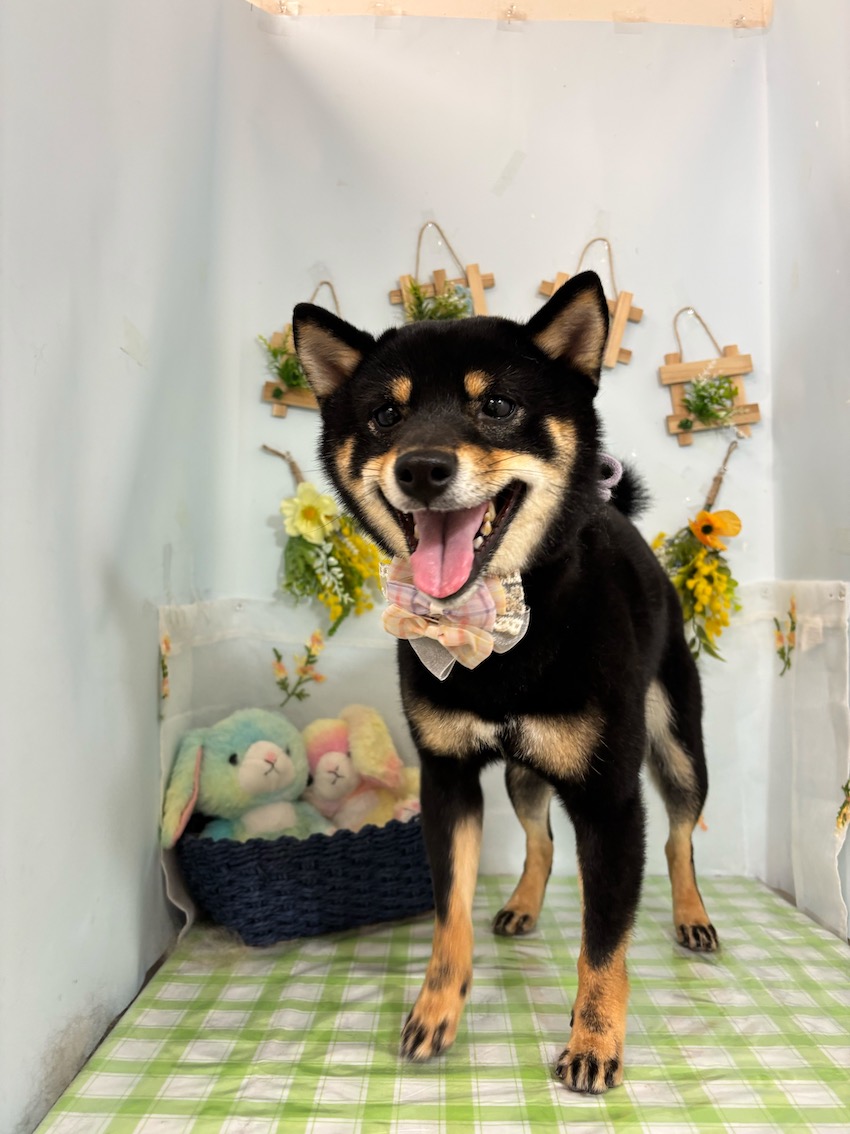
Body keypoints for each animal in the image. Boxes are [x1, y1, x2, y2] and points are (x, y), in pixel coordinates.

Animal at [292, 271, 717, 1094]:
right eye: (386, 415)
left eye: (495, 405)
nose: (421, 468)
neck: (499, 631)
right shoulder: (448, 779)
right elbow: (450, 908)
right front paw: (436, 1009)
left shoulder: (610, 801)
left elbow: (603, 940)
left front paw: (593, 1042)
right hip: (528, 771)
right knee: (540, 838)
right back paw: (522, 903)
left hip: (679, 745)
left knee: (681, 836)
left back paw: (691, 915)